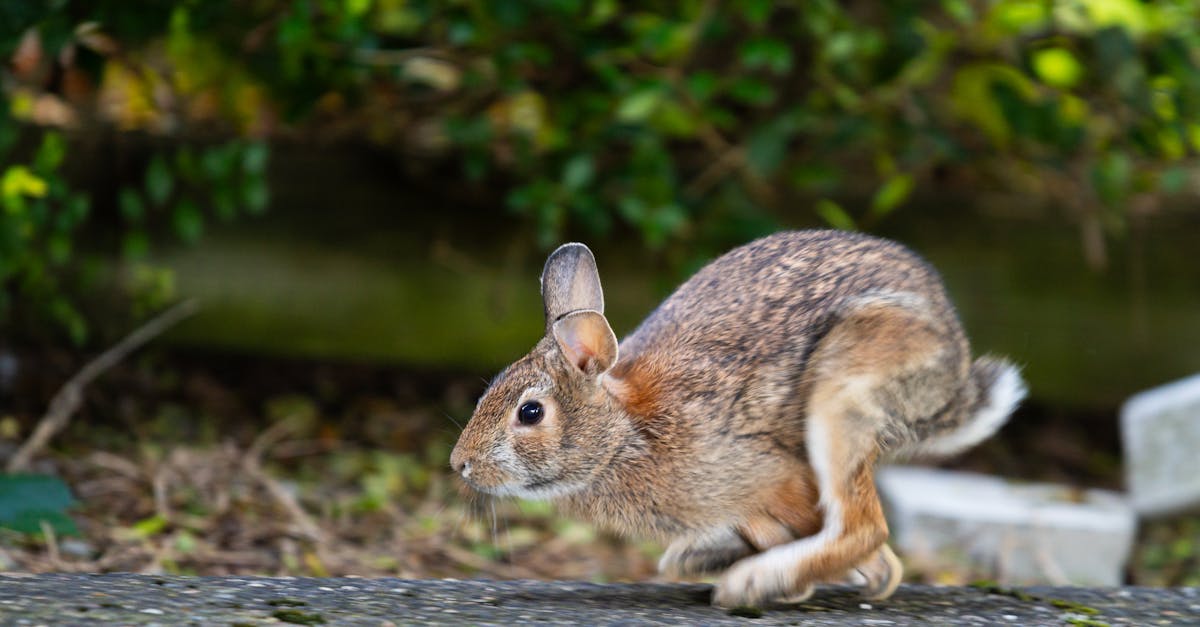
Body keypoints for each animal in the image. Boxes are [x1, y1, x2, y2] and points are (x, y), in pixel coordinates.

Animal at [450, 230, 1026, 607]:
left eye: (530, 412)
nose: (460, 464)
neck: (621, 436)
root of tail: (952, 359)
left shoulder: (771, 478)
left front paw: (778, 585)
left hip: (843, 394)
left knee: (864, 528)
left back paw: (748, 583)